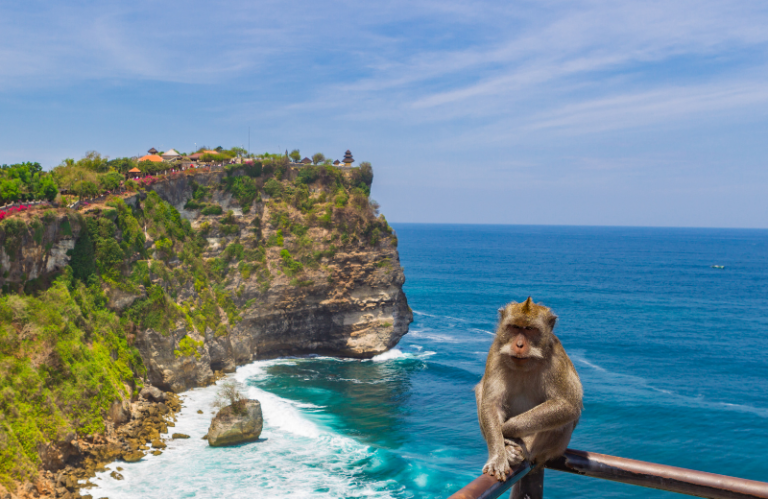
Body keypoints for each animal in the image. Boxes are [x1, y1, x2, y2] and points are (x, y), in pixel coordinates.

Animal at [474, 296, 584, 480]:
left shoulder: (555, 358)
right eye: (515, 327)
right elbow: (491, 404)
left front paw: (506, 429)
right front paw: (498, 456)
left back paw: (519, 448)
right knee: (481, 390)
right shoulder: (495, 351)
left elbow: (567, 405)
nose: (519, 345)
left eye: (530, 329)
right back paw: (509, 452)